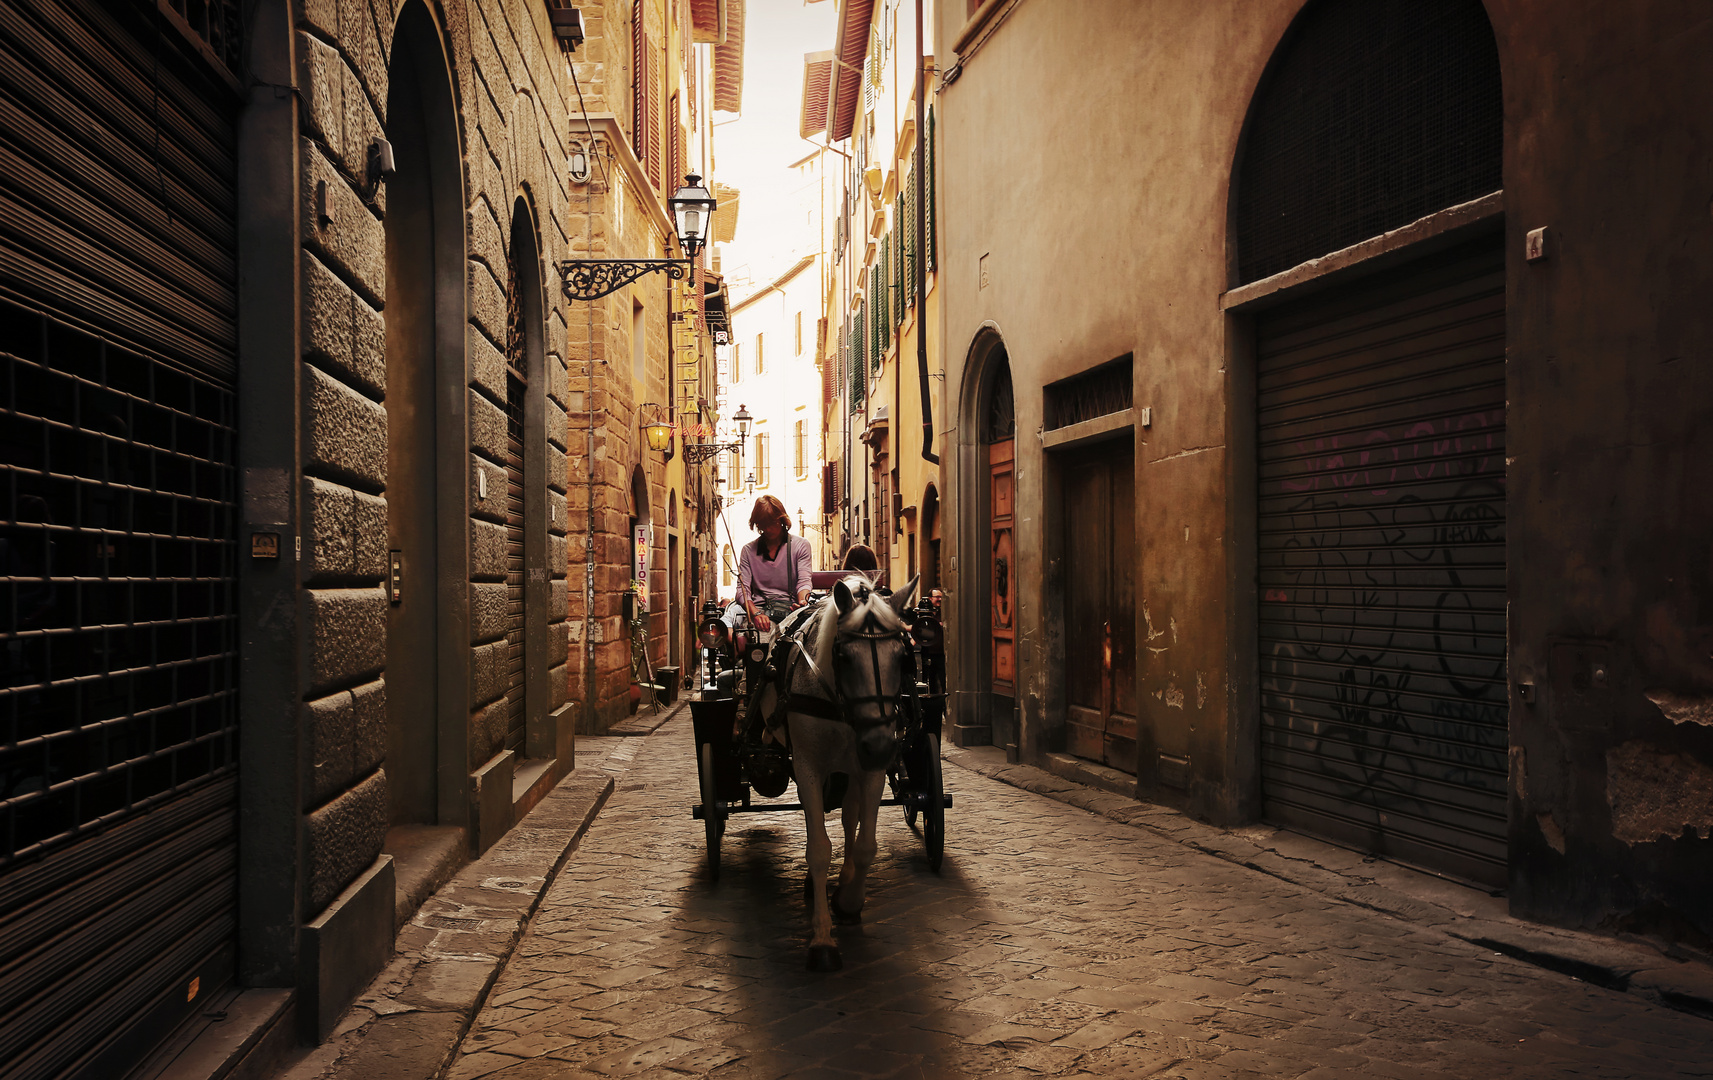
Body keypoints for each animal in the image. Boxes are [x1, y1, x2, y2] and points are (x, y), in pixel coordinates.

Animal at [757, 576, 918, 973]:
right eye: (844, 657)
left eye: (902, 656)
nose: (880, 747)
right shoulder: (808, 767)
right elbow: (818, 849)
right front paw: (822, 939)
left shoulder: (871, 770)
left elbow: (865, 844)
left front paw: (848, 901)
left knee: (849, 818)